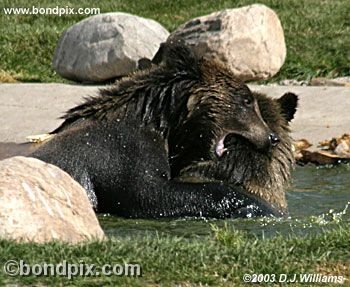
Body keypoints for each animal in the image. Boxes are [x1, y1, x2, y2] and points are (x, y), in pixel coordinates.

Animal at [31, 42, 296, 218]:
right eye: (246, 100)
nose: (271, 137)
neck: (165, 123)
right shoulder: (123, 148)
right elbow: (150, 193)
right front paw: (253, 204)